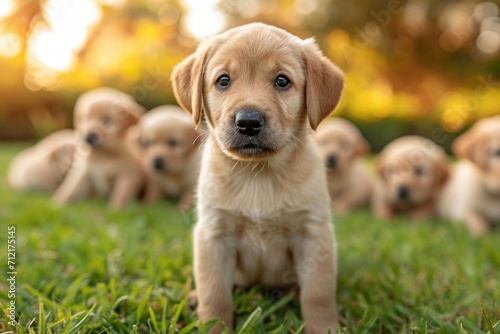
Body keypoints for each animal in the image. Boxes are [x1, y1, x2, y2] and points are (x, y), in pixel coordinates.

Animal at [172, 23, 344, 334]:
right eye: (223, 80)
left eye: (282, 81)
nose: (248, 122)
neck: (258, 174)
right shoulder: (213, 234)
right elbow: (214, 293)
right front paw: (213, 325)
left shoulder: (314, 234)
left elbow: (318, 293)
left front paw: (324, 327)